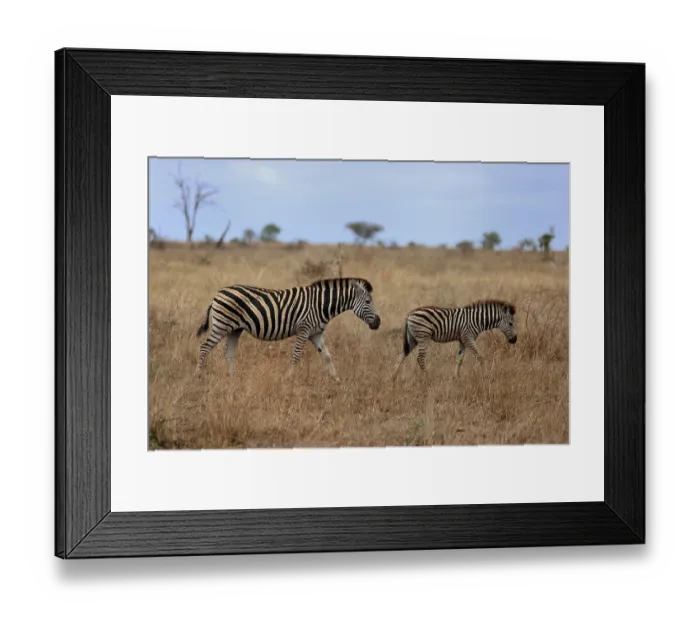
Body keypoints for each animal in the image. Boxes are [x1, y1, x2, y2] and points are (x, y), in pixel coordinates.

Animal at [196, 277, 381, 381]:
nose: (378, 323)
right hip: (222, 326)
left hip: (235, 329)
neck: (321, 305)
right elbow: (297, 354)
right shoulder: (304, 329)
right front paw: (289, 378)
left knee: (229, 353)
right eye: (368, 302)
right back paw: (199, 376)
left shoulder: (316, 333)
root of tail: (217, 294)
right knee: (204, 347)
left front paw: (336, 379)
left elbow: (327, 356)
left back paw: (232, 378)